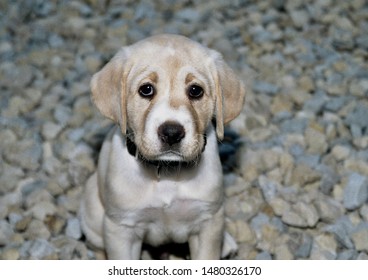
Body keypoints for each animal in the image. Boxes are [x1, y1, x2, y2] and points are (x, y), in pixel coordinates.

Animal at [79, 35, 246, 260]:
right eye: (146, 89)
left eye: (195, 91)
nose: (172, 133)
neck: (166, 174)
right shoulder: (122, 229)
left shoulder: (207, 222)